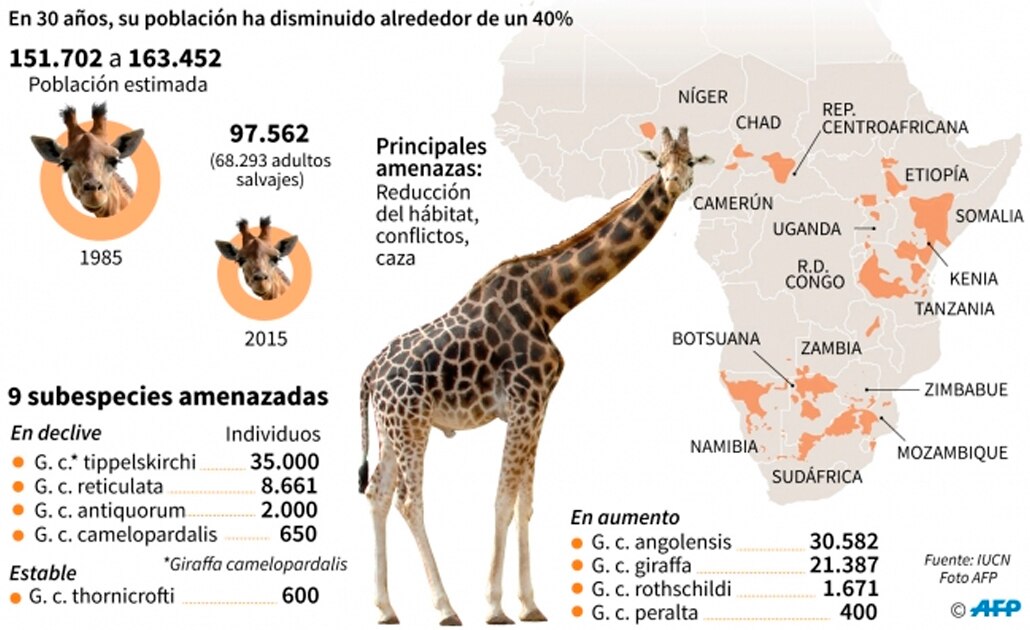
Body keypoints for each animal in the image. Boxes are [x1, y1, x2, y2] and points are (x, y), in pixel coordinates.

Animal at [358, 127, 712, 626]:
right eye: (659, 162)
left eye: (691, 161)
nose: (676, 182)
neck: (551, 303)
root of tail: (371, 369)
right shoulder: (525, 402)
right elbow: (503, 500)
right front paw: (494, 606)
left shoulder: (540, 406)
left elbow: (525, 503)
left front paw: (530, 604)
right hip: (411, 425)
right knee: (409, 500)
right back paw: (445, 607)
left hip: (392, 426)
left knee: (377, 493)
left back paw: (386, 608)